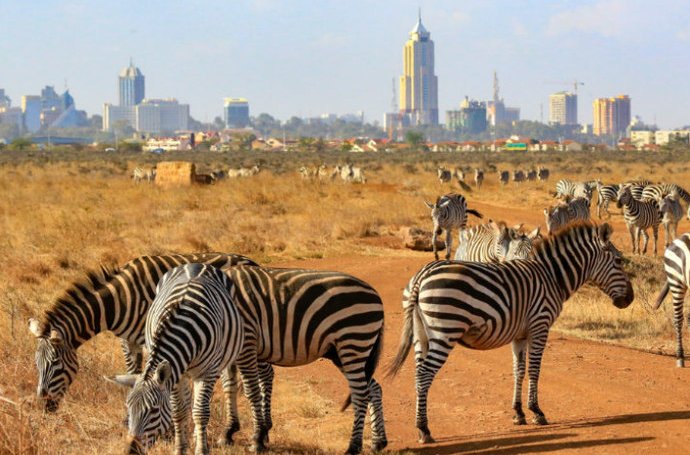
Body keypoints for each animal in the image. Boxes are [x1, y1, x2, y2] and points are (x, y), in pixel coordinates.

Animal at [26, 253, 258, 414]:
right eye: (37, 364)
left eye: (55, 363)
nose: (44, 406)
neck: (118, 301)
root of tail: (250, 261)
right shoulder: (128, 341)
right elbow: (133, 371)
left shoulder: (149, 338)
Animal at [107, 264, 245, 455]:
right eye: (129, 408)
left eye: (154, 410)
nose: (131, 451)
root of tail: (196, 264)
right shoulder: (175, 374)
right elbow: (178, 412)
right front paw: (180, 448)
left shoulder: (207, 372)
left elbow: (200, 412)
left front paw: (201, 449)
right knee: (188, 405)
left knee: (213, 396)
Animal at [219, 268, 384, 455]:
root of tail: (375, 294)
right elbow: (229, 386)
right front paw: (228, 432)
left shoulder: (247, 340)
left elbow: (250, 390)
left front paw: (256, 439)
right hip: (344, 351)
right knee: (373, 388)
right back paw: (378, 442)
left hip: (353, 340)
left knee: (361, 394)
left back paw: (353, 446)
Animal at [384, 224, 632, 446]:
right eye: (619, 261)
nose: (629, 299)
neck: (552, 277)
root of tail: (422, 275)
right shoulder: (539, 326)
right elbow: (534, 370)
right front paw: (537, 412)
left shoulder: (519, 335)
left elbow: (518, 371)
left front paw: (518, 413)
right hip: (445, 331)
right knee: (425, 374)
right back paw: (424, 430)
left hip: (421, 334)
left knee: (418, 374)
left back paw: (421, 426)